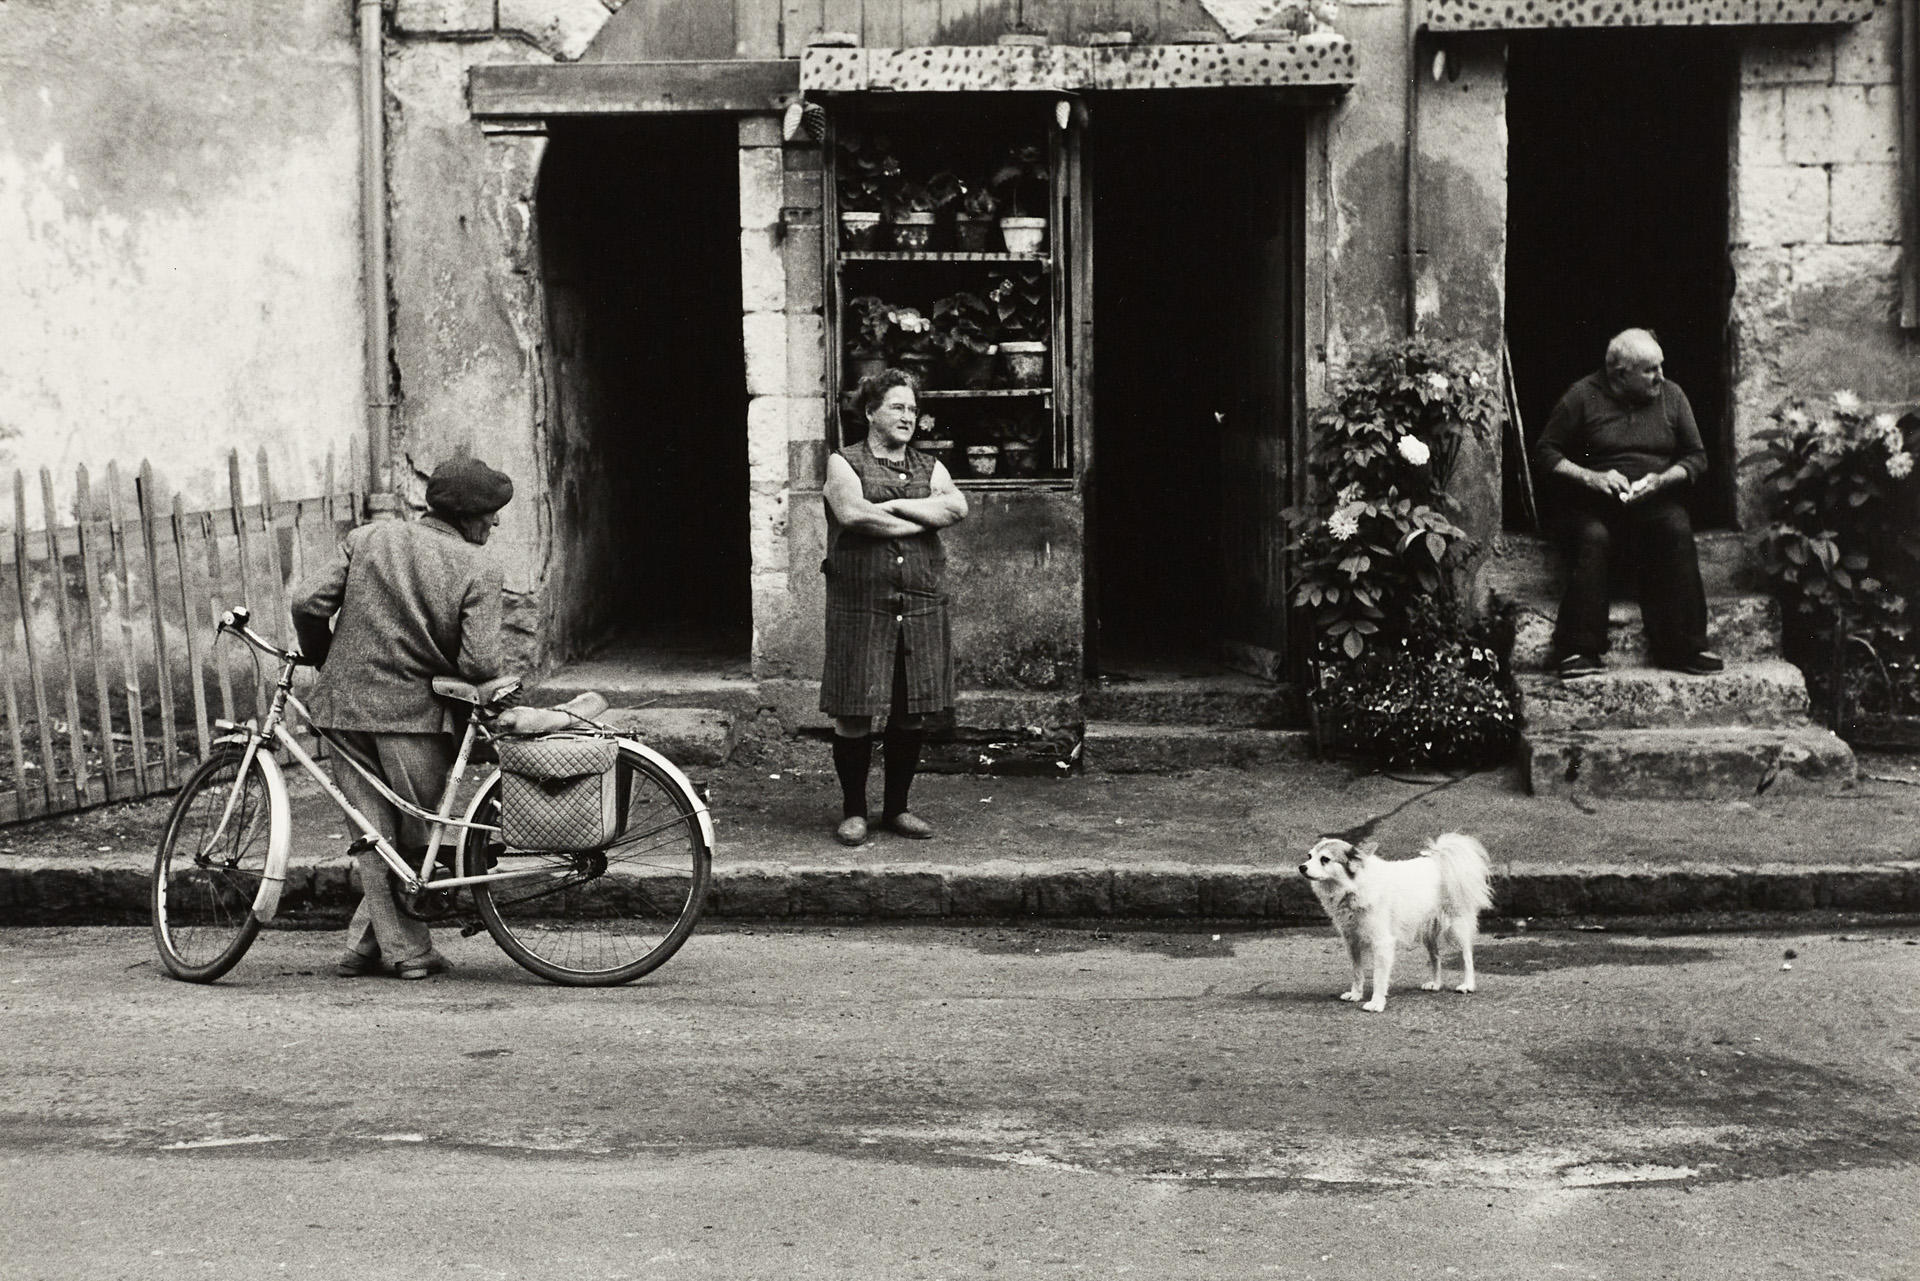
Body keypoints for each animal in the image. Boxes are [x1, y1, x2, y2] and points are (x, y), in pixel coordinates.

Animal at [1297, 837, 1489, 1014]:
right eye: (1309, 856)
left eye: (1325, 859)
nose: (1301, 867)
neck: (1354, 887)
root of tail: (1438, 860)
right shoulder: (1352, 942)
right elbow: (1357, 972)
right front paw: (1356, 994)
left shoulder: (1382, 943)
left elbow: (1378, 977)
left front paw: (1376, 1002)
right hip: (1427, 931)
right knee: (1436, 957)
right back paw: (1435, 983)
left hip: (1458, 927)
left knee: (1467, 957)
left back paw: (1468, 984)